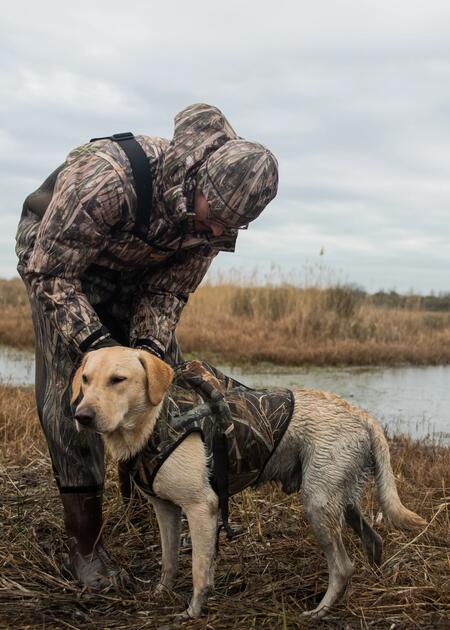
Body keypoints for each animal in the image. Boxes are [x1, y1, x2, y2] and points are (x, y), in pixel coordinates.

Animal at [71, 348, 426, 620]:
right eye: (86, 379)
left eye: (118, 379)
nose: (82, 416)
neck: (157, 421)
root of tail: (362, 416)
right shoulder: (166, 510)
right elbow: (169, 561)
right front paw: (161, 593)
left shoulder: (201, 508)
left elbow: (199, 570)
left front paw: (193, 611)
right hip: (340, 498)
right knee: (373, 539)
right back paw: (375, 578)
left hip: (318, 503)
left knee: (343, 567)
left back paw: (320, 611)